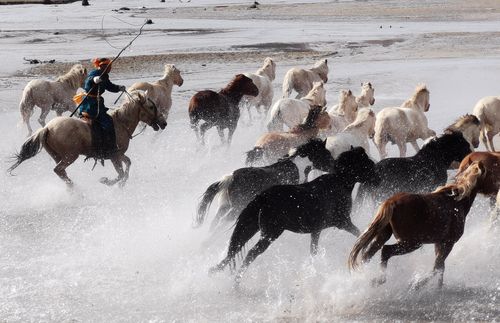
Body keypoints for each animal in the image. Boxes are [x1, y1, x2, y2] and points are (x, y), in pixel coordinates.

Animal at [7, 91, 167, 187]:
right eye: (151, 107)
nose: (164, 123)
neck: (120, 123)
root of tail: (46, 128)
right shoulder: (115, 155)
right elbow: (121, 172)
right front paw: (107, 181)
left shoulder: (118, 155)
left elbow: (127, 164)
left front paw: (119, 183)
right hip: (70, 156)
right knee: (58, 170)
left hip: (57, 156)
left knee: (61, 172)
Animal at [193, 138, 334, 232]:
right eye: (326, 154)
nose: (335, 167)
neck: (297, 166)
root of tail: (231, 177)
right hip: (236, 208)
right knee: (221, 222)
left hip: (225, 206)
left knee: (214, 222)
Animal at [210, 147, 378, 284]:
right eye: (366, 163)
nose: (377, 178)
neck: (338, 183)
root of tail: (262, 197)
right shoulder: (342, 222)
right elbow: (359, 233)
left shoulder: (316, 230)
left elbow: (313, 251)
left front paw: (312, 269)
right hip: (270, 234)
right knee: (251, 254)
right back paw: (237, 283)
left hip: (252, 227)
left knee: (235, 248)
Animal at [350, 163, 486, 290]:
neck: (457, 202)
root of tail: (391, 202)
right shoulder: (448, 242)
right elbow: (437, 267)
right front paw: (418, 284)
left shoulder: (439, 242)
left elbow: (441, 267)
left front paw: (439, 287)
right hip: (412, 243)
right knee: (385, 251)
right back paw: (379, 280)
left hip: (384, 235)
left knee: (367, 254)